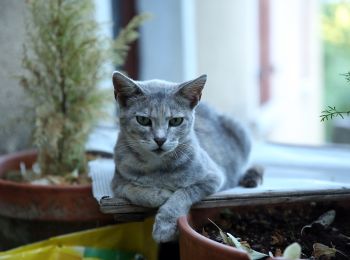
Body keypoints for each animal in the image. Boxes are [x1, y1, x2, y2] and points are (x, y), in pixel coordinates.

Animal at [110, 70, 262, 242]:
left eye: (176, 121)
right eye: (143, 120)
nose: (160, 139)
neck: (158, 167)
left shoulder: (213, 177)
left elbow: (183, 193)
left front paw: (165, 225)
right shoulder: (118, 180)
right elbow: (132, 190)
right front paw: (159, 194)